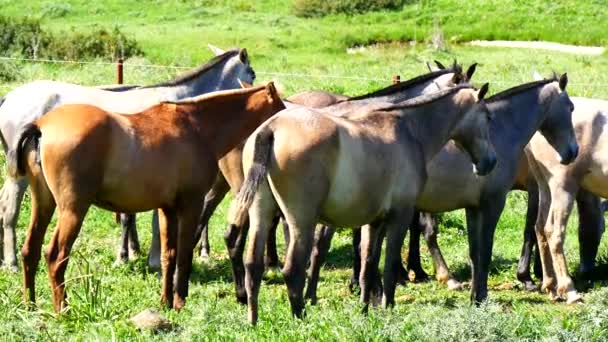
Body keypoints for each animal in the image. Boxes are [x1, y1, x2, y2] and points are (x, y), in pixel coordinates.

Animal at [8, 83, 284, 312]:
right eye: (282, 107)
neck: (197, 127)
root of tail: (41, 125)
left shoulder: (167, 209)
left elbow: (168, 255)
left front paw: (166, 302)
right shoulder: (190, 205)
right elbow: (184, 255)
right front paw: (180, 302)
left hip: (44, 203)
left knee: (30, 250)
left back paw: (30, 304)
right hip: (73, 209)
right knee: (55, 256)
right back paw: (62, 309)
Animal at [230, 84, 492, 324]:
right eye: (488, 116)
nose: (490, 162)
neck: (410, 131)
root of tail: (271, 128)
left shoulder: (374, 222)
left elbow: (368, 265)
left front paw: (365, 309)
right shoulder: (400, 216)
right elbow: (389, 265)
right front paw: (388, 307)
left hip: (261, 214)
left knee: (253, 265)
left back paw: (253, 321)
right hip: (301, 222)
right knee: (293, 270)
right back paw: (300, 318)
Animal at [524, 95, 608, 302]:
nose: (587, 270)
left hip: (544, 185)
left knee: (540, 228)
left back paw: (550, 285)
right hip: (562, 185)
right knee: (554, 232)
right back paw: (569, 289)